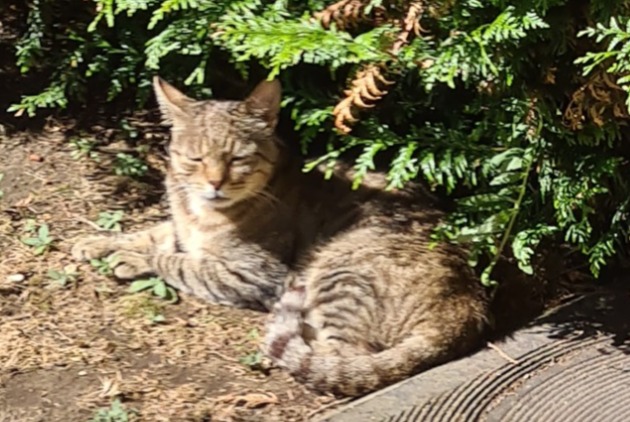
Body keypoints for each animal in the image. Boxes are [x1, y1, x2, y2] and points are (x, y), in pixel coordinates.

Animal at [73, 77, 488, 398]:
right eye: (196, 159)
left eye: (236, 159)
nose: (214, 184)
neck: (199, 211)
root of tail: (466, 306)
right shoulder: (181, 228)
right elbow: (153, 233)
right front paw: (97, 241)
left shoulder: (253, 274)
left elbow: (179, 261)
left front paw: (132, 260)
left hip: (341, 271)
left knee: (344, 358)